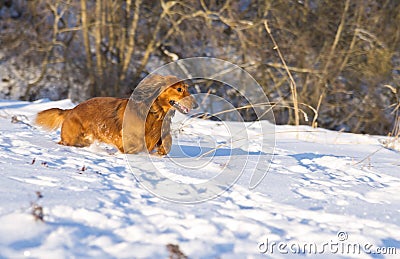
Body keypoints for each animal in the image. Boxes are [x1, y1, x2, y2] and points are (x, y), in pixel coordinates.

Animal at [35, 75, 198, 156]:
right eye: (179, 89)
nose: (195, 105)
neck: (155, 113)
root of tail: (71, 110)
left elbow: (167, 141)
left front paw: (161, 151)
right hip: (72, 139)